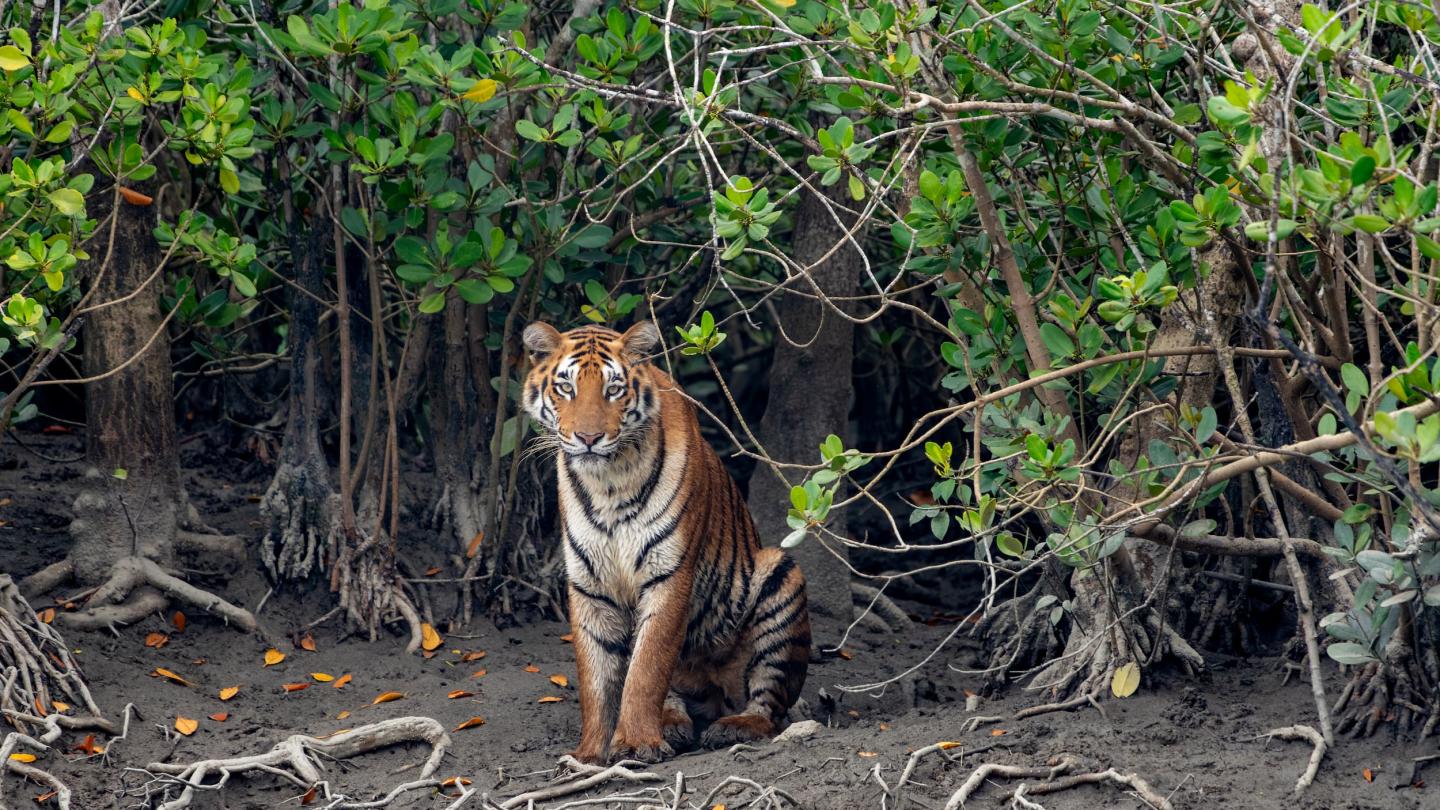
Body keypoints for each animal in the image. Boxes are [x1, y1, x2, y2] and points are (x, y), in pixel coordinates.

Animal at [521, 319, 810, 764]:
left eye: (613, 389)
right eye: (566, 387)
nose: (588, 437)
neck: (607, 483)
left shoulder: (669, 574)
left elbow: (647, 668)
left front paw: (636, 743)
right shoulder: (591, 585)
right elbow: (596, 680)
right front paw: (589, 755)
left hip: (780, 574)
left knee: (767, 703)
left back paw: (734, 726)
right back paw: (673, 723)